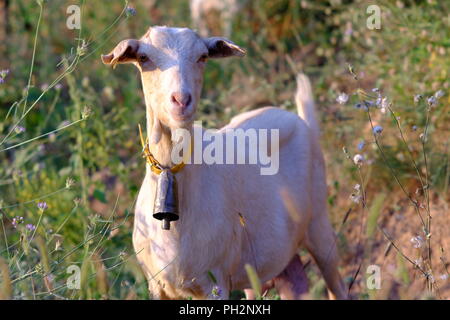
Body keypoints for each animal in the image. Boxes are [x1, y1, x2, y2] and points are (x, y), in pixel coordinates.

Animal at [103, 26, 348, 298]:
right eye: (144, 58)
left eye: (202, 57)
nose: (181, 100)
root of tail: (302, 121)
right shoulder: (156, 284)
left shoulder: (215, 281)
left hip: (319, 224)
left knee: (337, 285)